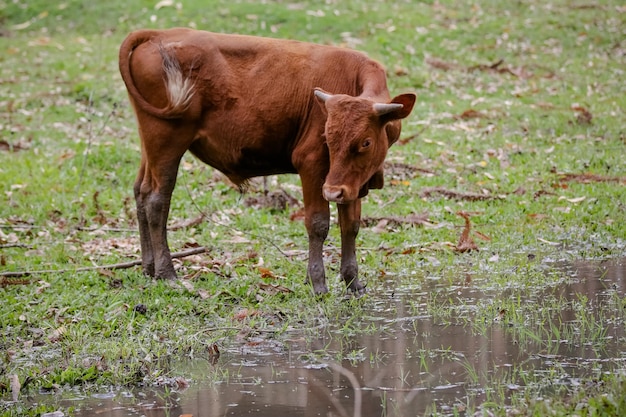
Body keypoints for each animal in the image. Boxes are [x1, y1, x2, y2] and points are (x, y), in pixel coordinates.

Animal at [118, 27, 414, 294]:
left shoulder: (351, 181)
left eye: (366, 142)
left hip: (150, 144)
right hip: (167, 141)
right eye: (327, 137)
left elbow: (350, 225)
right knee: (157, 200)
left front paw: (353, 283)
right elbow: (318, 223)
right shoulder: (312, 164)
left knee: (141, 191)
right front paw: (318, 284)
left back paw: (148, 268)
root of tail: (159, 34)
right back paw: (167, 273)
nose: (331, 192)